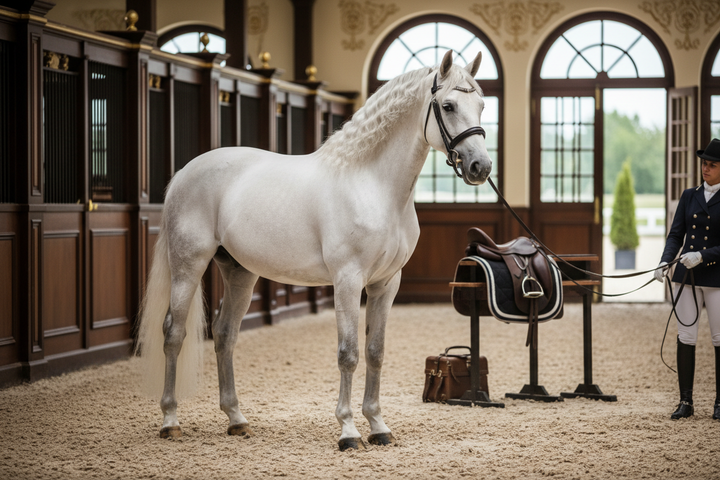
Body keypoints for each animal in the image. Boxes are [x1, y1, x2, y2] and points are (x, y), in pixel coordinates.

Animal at [135, 49, 492, 451]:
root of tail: (183, 174)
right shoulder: (348, 280)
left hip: (239, 271)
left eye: (481, 104)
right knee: (173, 333)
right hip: (188, 266)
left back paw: (237, 420)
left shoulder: (386, 283)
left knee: (225, 335)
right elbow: (348, 354)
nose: (480, 167)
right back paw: (170, 420)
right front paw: (349, 431)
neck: (371, 185)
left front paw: (378, 426)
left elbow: (375, 352)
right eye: (448, 105)